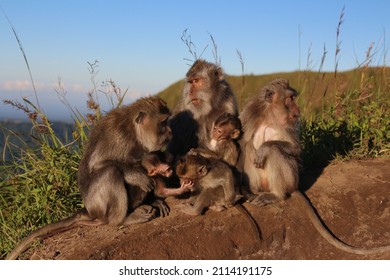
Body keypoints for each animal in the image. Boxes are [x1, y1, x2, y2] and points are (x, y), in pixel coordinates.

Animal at [6, 96, 172, 260]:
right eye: (163, 123)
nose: (170, 131)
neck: (134, 133)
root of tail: (88, 209)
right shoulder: (119, 137)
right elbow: (99, 165)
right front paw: (138, 177)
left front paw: (155, 199)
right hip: (97, 203)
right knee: (111, 172)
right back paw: (122, 219)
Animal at [239, 77, 390, 255]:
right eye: (290, 99)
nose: (297, 109)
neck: (270, 114)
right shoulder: (249, 113)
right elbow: (241, 143)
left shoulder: (288, 124)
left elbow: (294, 148)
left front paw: (265, 148)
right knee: (249, 148)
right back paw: (254, 191)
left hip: (291, 178)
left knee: (274, 152)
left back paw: (276, 195)